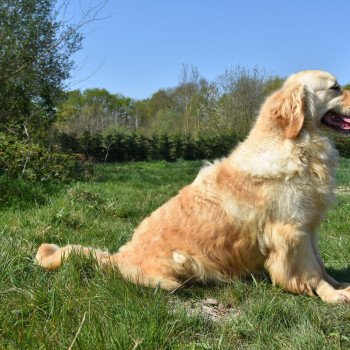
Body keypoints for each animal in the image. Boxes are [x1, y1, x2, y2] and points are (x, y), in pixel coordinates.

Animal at [36, 69, 350, 304]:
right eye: (335, 88)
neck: (298, 146)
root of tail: (118, 256)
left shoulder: (309, 229)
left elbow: (322, 266)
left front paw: (340, 286)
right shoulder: (291, 231)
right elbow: (311, 273)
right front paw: (331, 296)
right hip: (179, 264)